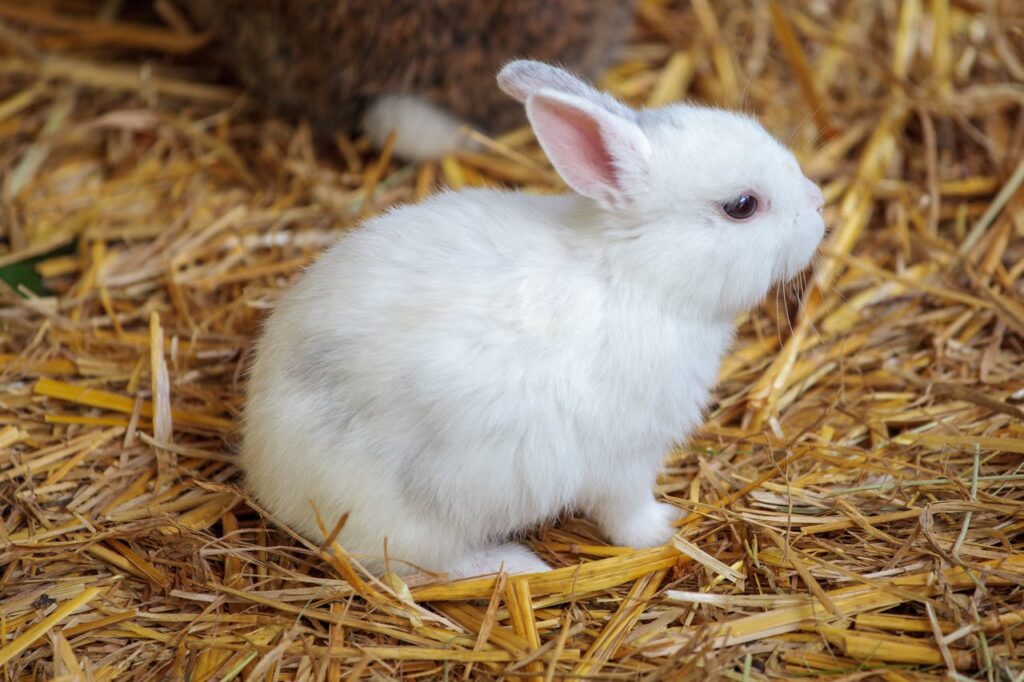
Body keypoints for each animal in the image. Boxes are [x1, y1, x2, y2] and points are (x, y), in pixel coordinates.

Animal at [242, 60, 826, 578]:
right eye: (742, 206)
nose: (819, 204)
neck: (633, 275)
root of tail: (265, 470)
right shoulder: (625, 460)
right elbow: (627, 513)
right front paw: (665, 527)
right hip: (415, 517)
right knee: (417, 568)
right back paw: (513, 564)